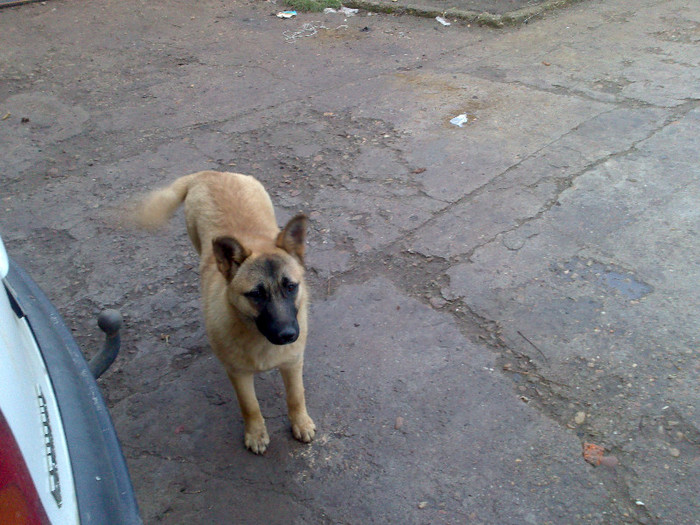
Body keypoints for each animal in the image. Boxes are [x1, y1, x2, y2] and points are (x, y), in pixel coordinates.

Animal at [130, 170, 316, 452]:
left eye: (291, 287)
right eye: (256, 295)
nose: (287, 335)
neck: (258, 339)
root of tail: (209, 173)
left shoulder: (293, 363)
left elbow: (296, 396)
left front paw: (301, 423)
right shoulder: (238, 373)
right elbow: (249, 406)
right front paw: (255, 433)